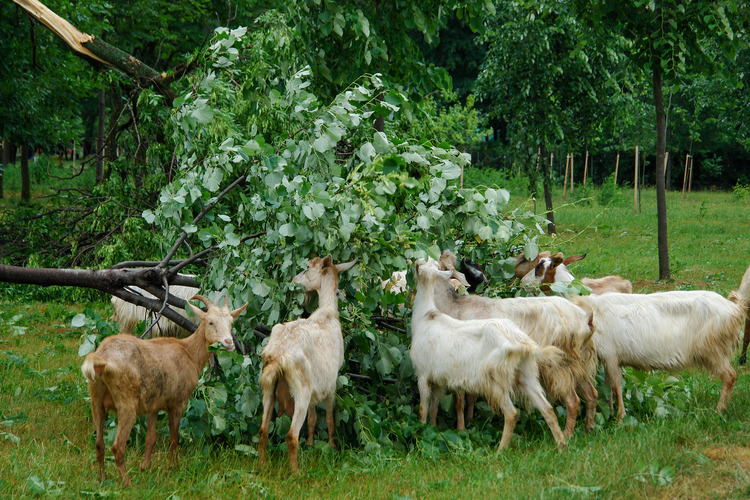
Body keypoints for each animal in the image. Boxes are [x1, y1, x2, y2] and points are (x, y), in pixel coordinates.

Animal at [81, 295, 247, 486]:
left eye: (231, 322)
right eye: (210, 322)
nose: (228, 342)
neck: (189, 352)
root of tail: (101, 359)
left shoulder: (153, 404)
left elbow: (151, 439)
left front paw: (145, 467)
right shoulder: (178, 401)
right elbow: (174, 438)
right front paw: (173, 467)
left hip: (96, 399)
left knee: (99, 443)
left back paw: (102, 480)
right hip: (126, 401)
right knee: (117, 446)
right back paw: (127, 483)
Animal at [258, 255, 357, 472]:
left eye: (307, 268)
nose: (294, 281)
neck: (328, 314)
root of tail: (277, 355)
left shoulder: (315, 388)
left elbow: (312, 420)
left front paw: (311, 445)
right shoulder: (330, 385)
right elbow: (329, 419)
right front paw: (332, 447)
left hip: (269, 388)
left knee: (263, 430)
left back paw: (262, 465)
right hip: (300, 389)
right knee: (291, 435)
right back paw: (296, 472)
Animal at [410, 258, 567, 451]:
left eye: (418, 267)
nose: (414, 262)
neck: (426, 316)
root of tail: (522, 344)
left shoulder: (423, 374)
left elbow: (423, 408)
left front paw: (421, 431)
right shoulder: (439, 377)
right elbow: (434, 407)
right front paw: (432, 429)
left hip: (495, 380)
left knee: (512, 413)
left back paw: (500, 450)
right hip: (526, 375)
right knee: (547, 409)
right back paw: (561, 446)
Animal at [435, 251, 597, 437]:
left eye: (539, 267)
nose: (523, 282)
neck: (455, 305)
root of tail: (586, 320)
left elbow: (459, 401)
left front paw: (461, 429)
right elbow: (470, 397)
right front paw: (469, 421)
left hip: (558, 365)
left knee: (573, 401)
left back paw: (566, 437)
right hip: (580, 363)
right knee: (592, 394)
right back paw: (588, 430)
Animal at [570, 267, 750, 423]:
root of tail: (735, 308)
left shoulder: (611, 355)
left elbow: (616, 387)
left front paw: (620, 419)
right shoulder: (609, 359)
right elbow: (608, 388)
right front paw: (610, 415)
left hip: (714, 350)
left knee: (730, 376)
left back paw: (718, 411)